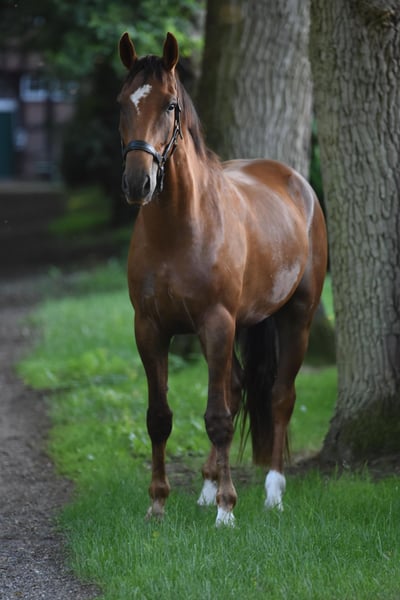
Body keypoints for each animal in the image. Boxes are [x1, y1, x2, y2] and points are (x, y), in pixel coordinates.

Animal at [118, 32, 327, 526]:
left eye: (171, 105)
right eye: (121, 103)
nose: (138, 183)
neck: (180, 229)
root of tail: (297, 182)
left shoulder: (216, 323)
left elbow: (219, 419)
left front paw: (227, 511)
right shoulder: (150, 329)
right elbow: (160, 416)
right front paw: (158, 503)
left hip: (296, 317)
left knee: (279, 396)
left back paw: (272, 493)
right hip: (238, 325)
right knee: (234, 387)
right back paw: (207, 486)